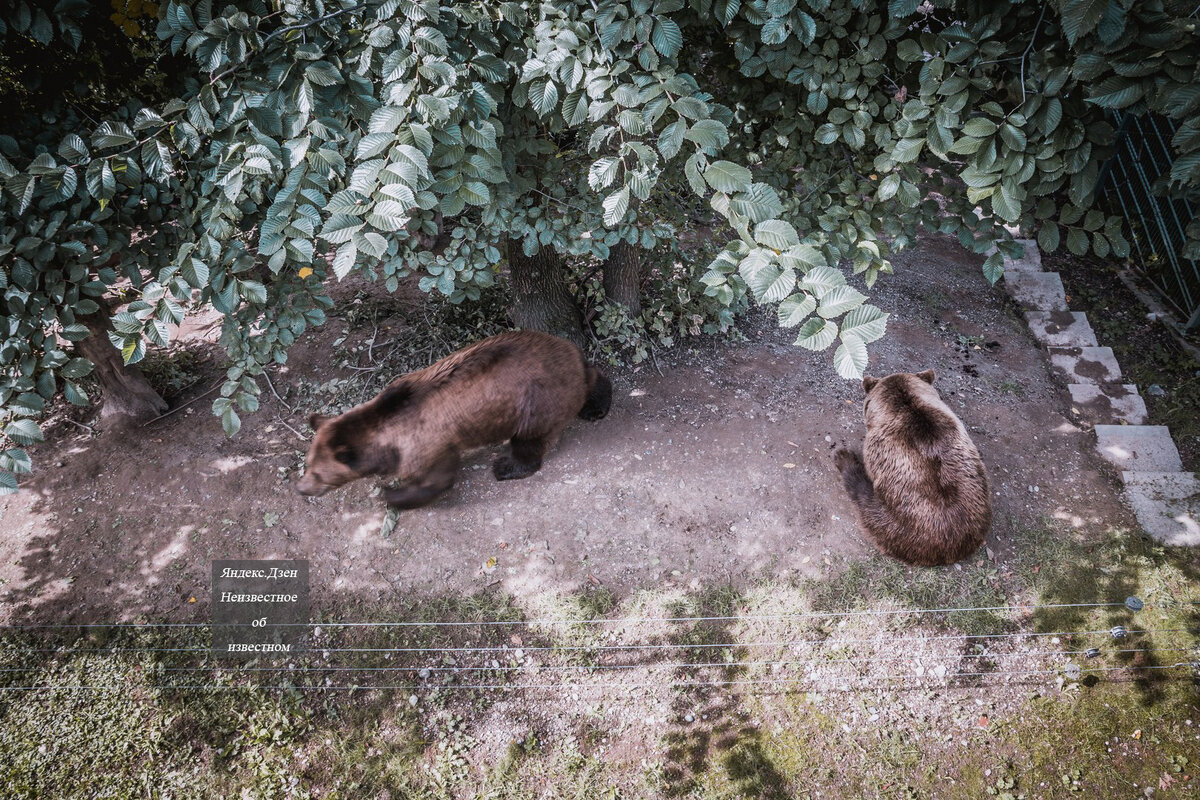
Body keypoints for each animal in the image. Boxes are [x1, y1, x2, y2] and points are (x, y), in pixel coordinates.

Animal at [291, 331, 609, 506]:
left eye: (318, 473)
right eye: (307, 465)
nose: (301, 489)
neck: (386, 440)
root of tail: (569, 350)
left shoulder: (428, 443)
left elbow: (436, 480)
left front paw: (388, 494)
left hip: (534, 400)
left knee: (528, 440)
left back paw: (506, 466)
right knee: (592, 375)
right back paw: (597, 403)